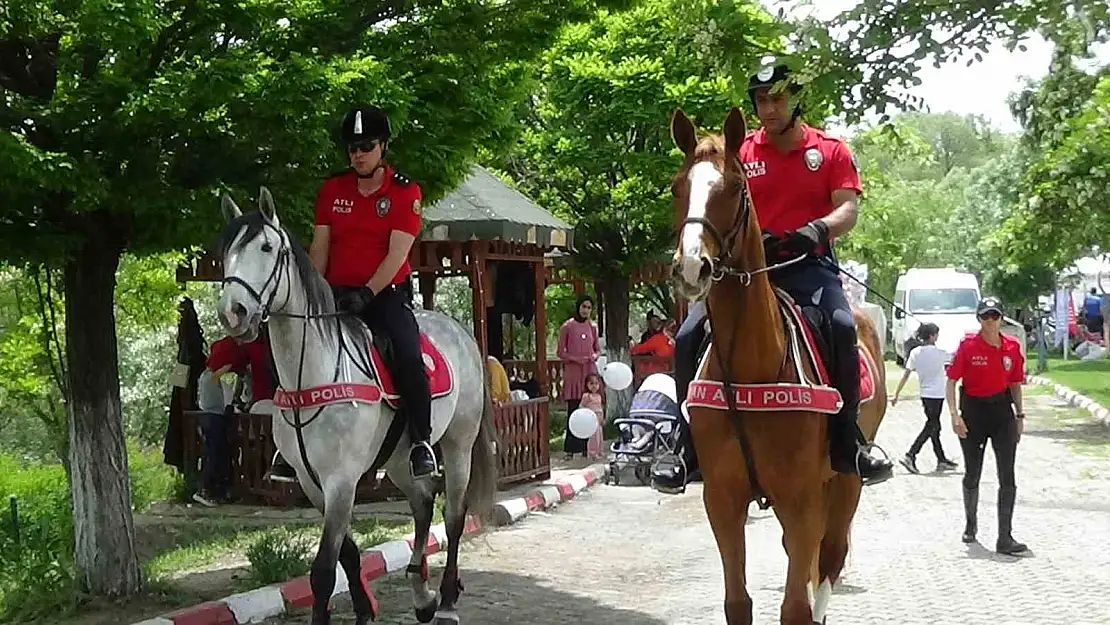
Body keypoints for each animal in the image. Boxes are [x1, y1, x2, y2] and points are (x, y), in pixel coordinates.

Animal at [216, 188, 495, 621]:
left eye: (266, 247)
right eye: (225, 252)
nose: (234, 313)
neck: (314, 369)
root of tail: (461, 331)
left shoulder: (342, 479)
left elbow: (323, 571)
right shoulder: (312, 481)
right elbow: (346, 554)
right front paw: (365, 609)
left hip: (458, 447)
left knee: (453, 516)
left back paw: (447, 598)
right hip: (398, 458)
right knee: (423, 505)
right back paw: (421, 593)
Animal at [661, 104, 888, 621]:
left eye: (734, 187)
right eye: (678, 187)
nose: (691, 267)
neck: (751, 366)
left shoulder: (802, 500)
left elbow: (796, 608)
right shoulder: (722, 499)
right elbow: (737, 602)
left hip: (844, 487)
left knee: (831, 559)